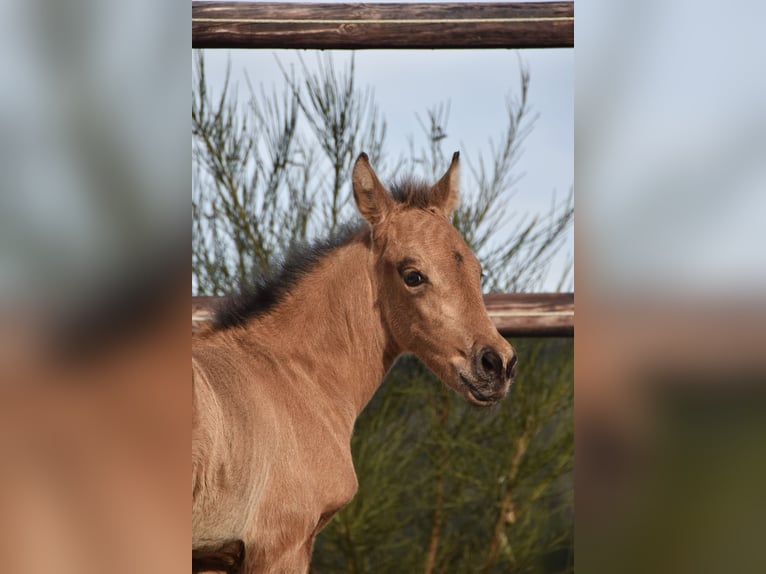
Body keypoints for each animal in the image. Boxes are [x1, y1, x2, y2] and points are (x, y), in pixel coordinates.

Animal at [192, 151, 520, 572]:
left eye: (478, 271)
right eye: (412, 275)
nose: (498, 365)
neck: (295, 377)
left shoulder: (216, 556)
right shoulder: (280, 545)